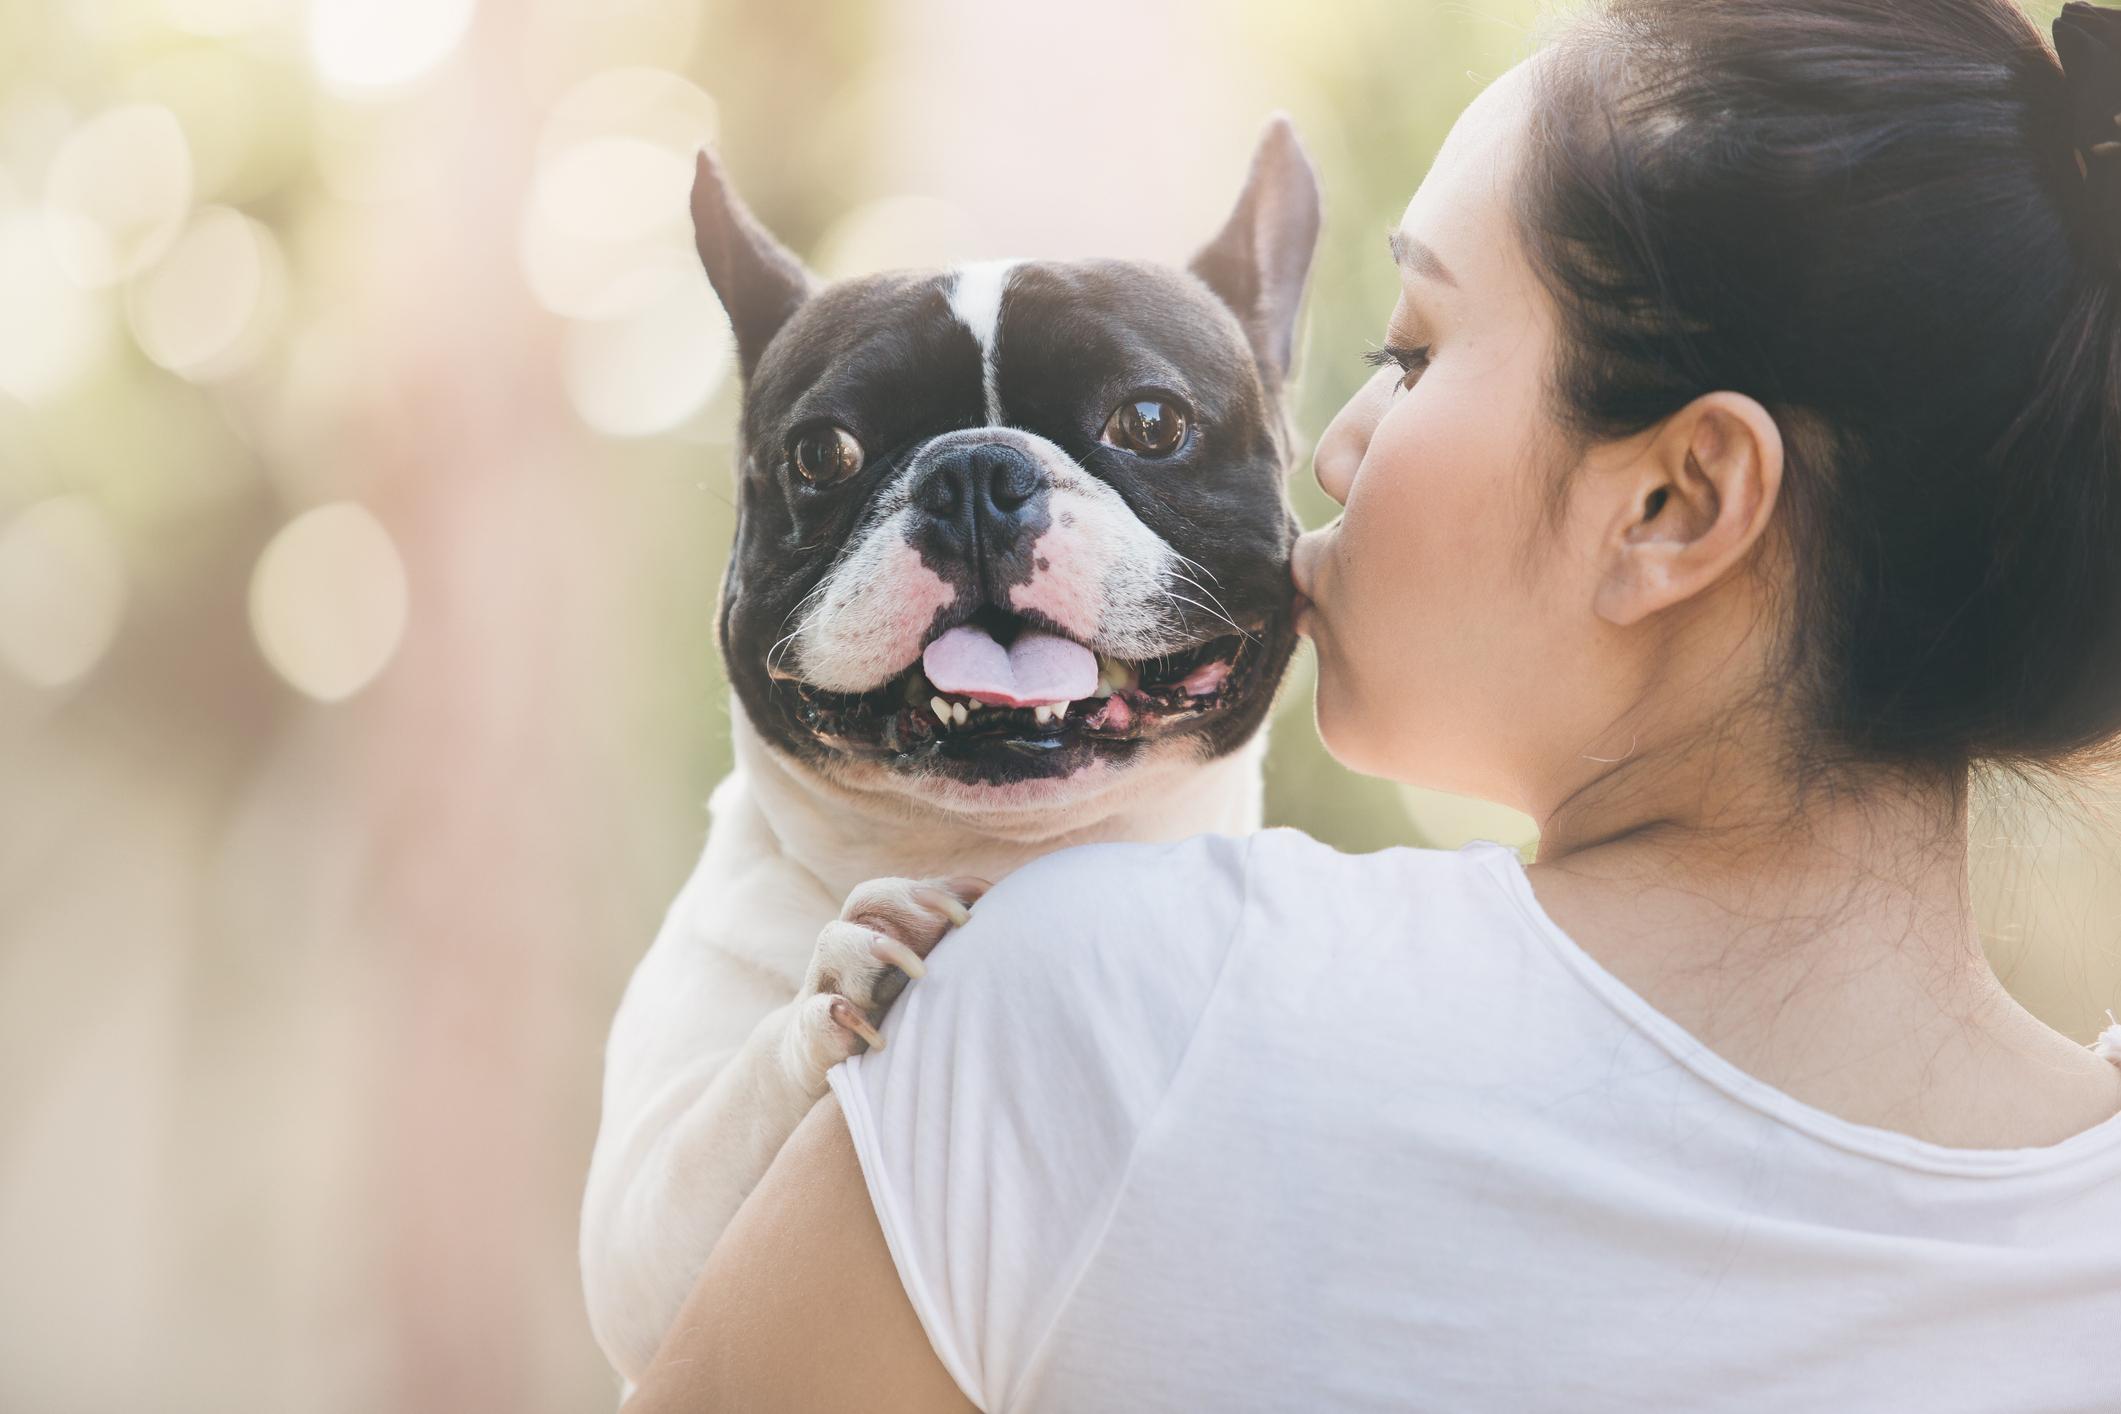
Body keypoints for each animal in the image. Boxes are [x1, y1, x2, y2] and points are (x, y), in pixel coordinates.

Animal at [576, 116, 1306, 1390]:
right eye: (822, 452)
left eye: (1149, 422)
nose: (974, 468)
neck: (994, 848)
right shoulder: (640, 1231)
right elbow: (697, 1155)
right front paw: (845, 970)